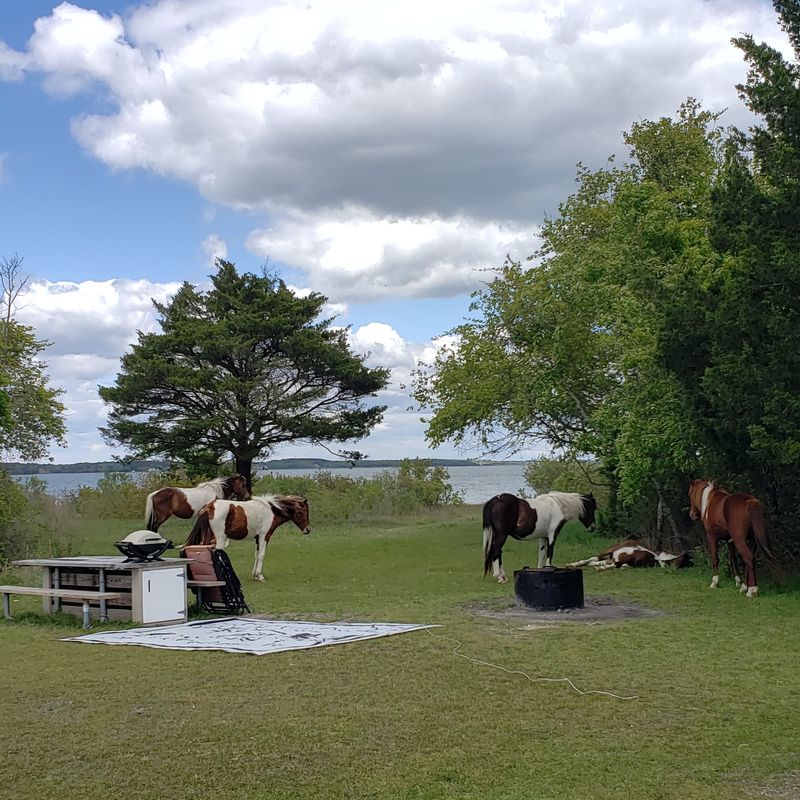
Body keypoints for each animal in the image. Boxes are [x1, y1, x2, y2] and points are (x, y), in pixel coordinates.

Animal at [181, 494, 311, 581]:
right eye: (301, 512)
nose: (308, 529)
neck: (271, 510)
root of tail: (210, 507)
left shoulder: (258, 538)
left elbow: (256, 555)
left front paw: (255, 575)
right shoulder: (264, 536)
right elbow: (261, 555)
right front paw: (260, 576)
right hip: (220, 539)